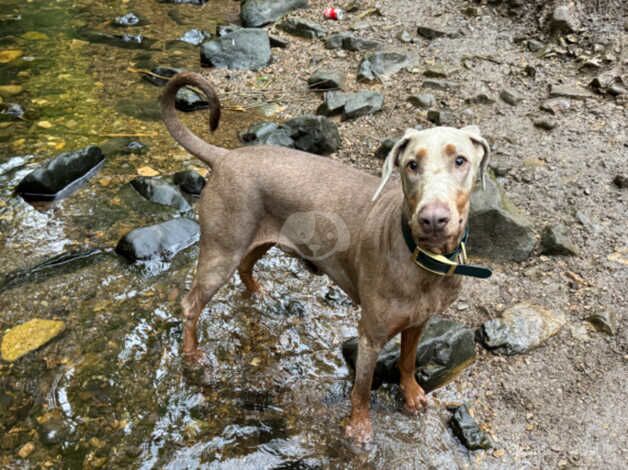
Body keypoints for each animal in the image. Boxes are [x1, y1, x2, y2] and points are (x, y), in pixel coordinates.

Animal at [161, 71, 490, 442]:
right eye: (411, 165)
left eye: (460, 160)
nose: (433, 219)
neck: (422, 261)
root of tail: (225, 156)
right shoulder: (370, 334)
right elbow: (361, 388)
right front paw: (358, 430)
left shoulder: (419, 321)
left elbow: (407, 361)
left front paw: (412, 395)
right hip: (221, 249)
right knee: (191, 305)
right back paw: (192, 355)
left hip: (259, 239)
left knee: (246, 266)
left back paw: (259, 294)